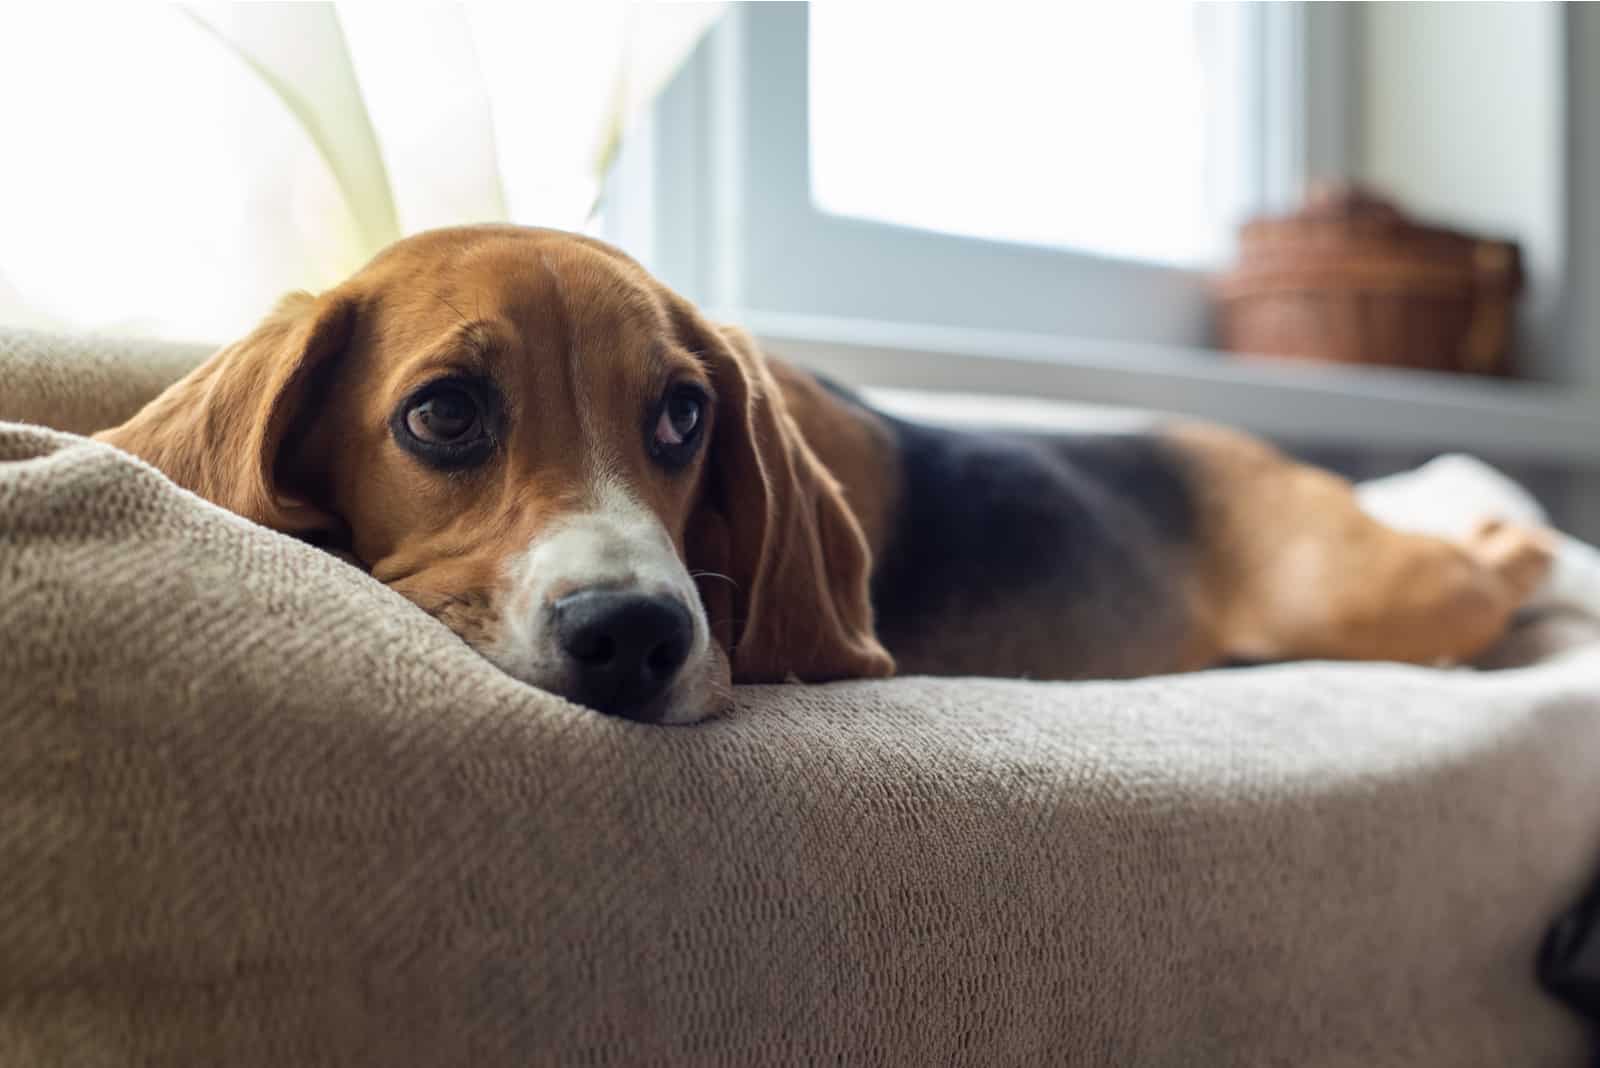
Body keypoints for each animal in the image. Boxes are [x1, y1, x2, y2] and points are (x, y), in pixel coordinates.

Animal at [96, 225, 1548, 725]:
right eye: (443, 414)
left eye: (684, 414)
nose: (634, 637)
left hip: (1363, 595)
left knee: (1492, 567)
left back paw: (1508, 534)